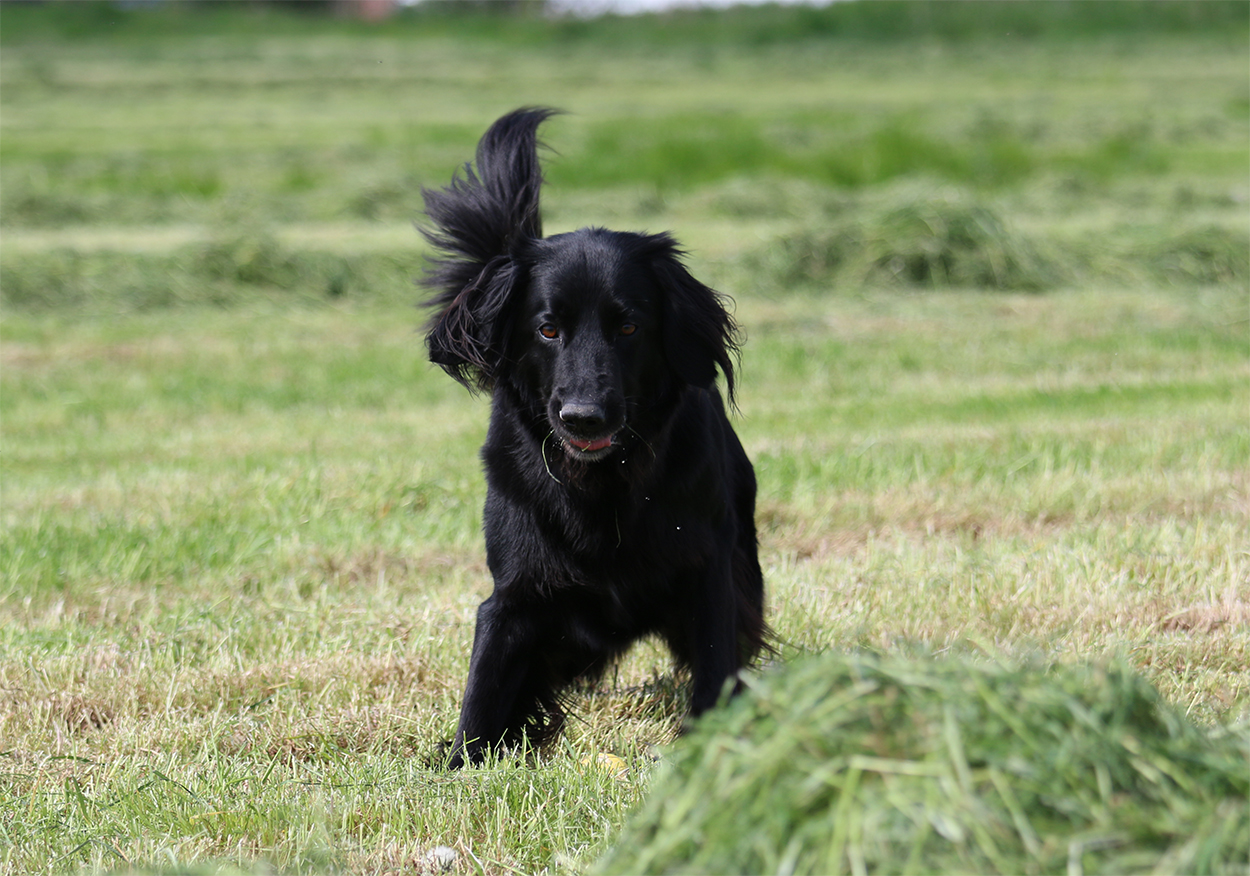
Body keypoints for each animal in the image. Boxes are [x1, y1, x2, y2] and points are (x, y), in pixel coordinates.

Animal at [421, 108, 767, 768]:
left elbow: (716, 670)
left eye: (628, 326)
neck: (605, 484)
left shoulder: (708, 574)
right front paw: (457, 769)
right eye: (547, 329)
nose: (585, 418)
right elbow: (481, 697)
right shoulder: (514, 595)